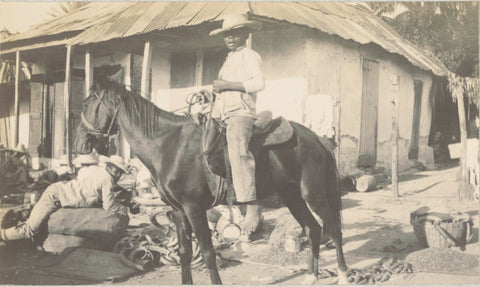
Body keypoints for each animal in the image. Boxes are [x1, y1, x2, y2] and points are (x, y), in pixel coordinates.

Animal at [76, 79, 348, 286]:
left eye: (88, 103)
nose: (80, 143)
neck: (167, 145)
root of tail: (316, 138)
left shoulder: (194, 209)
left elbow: (208, 253)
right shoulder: (178, 211)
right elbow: (184, 253)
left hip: (313, 194)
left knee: (333, 228)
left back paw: (343, 274)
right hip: (292, 196)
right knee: (313, 228)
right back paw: (312, 277)